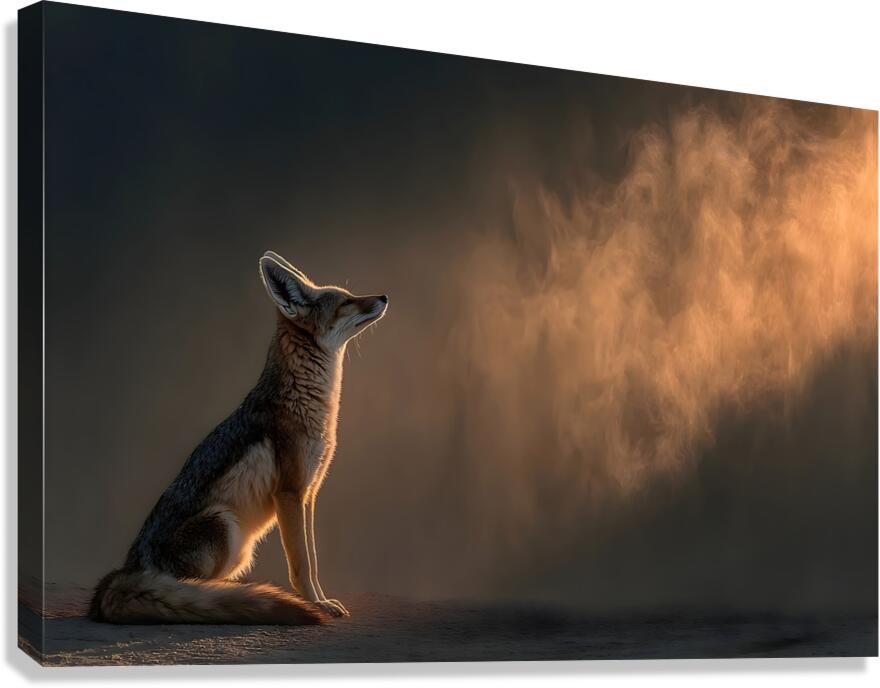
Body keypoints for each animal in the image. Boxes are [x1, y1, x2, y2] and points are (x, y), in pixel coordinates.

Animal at [89, 251, 388, 624]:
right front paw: (314, 604)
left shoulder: (309, 493)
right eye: (346, 301)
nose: (384, 296)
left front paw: (321, 599)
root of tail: (127, 571)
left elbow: (314, 562)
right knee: (197, 588)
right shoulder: (290, 492)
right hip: (225, 524)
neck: (308, 402)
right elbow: (302, 566)